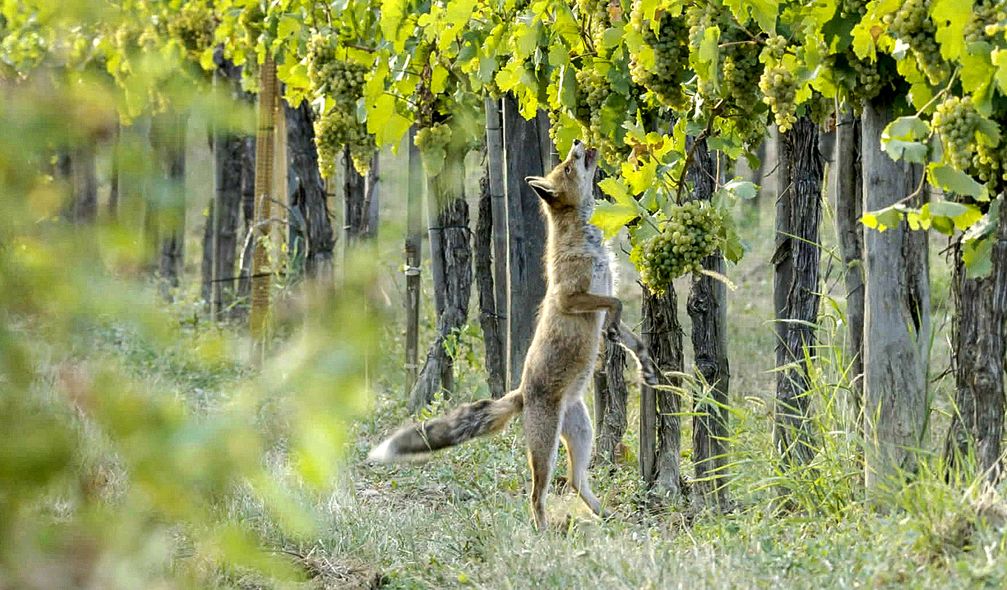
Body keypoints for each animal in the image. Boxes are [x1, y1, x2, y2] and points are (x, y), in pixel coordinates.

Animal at [366, 138, 656, 527]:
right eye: (568, 166)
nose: (578, 141)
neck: (584, 240)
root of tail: (520, 393)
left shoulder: (601, 291)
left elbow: (627, 330)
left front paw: (643, 361)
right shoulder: (570, 297)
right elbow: (616, 304)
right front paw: (614, 332)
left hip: (582, 432)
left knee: (576, 481)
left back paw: (604, 515)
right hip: (547, 448)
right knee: (537, 494)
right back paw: (544, 530)